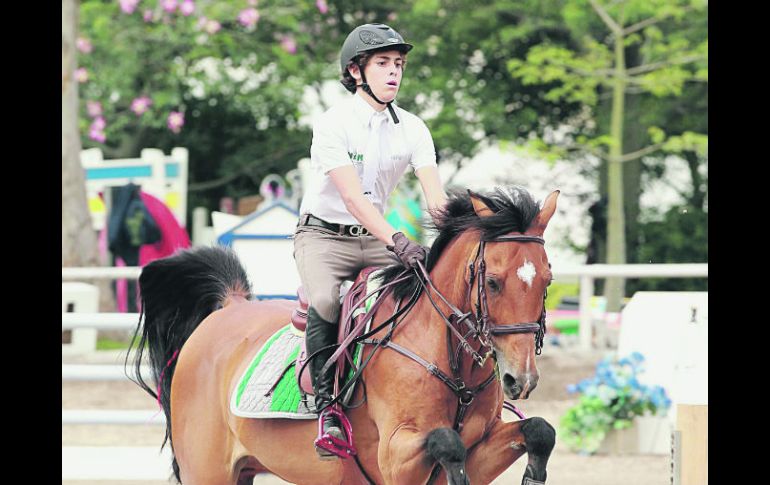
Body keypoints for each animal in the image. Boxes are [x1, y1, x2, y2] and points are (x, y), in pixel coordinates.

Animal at [129, 186, 556, 484]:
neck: (451, 357)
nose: (521, 379)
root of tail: (230, 306)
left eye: (547, 281)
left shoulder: (480, 449)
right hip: (208, 471)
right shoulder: (394, 457)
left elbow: (540, 430)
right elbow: (446, 443)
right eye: (494, 282)